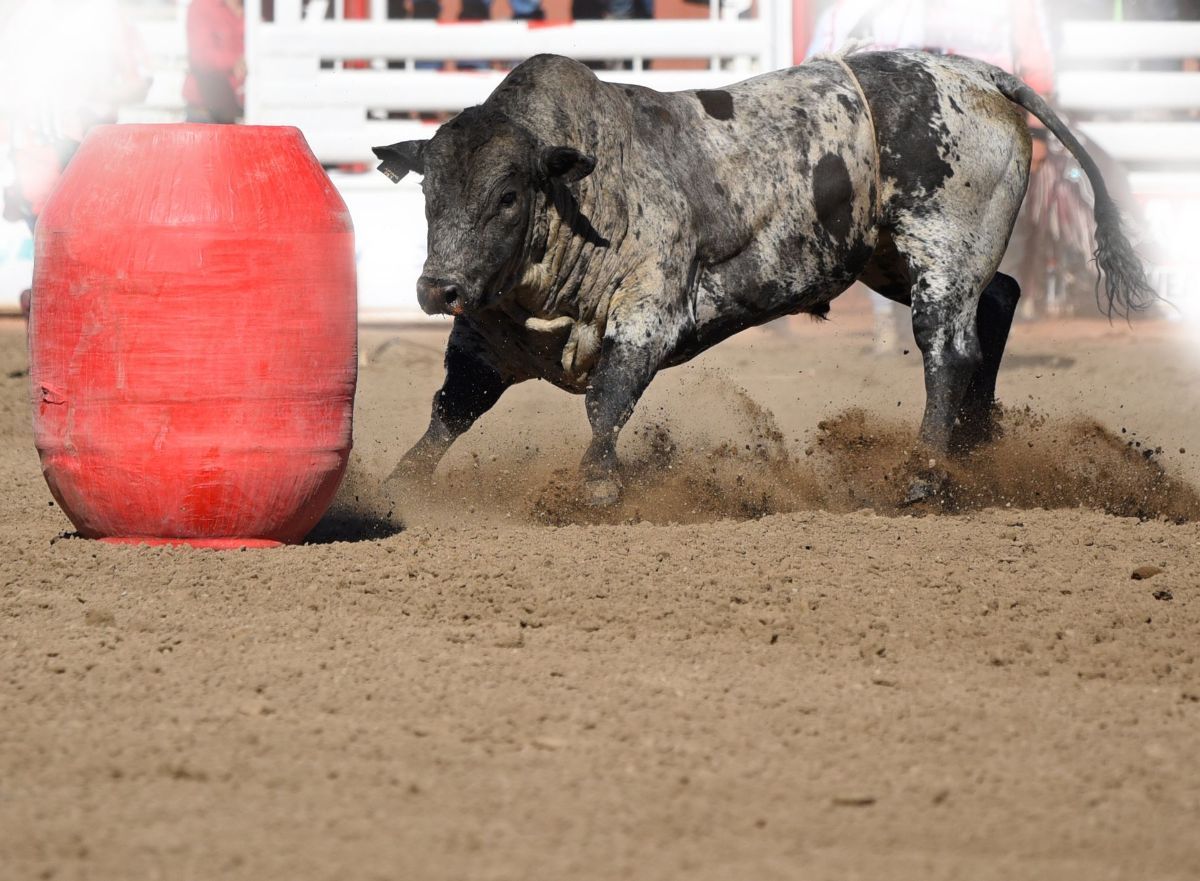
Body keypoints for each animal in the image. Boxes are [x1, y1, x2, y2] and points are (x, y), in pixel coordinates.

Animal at [372, 50, 1154, 506]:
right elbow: (452, 409)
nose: (438, 289)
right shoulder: (488, 339)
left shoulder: (649, 313)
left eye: (508, 195)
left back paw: (926, 474)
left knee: (949, 351)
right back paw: (975, 448)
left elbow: (606, 401)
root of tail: (974, 74)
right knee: (996, 302)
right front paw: (397, 487)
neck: (583, 195)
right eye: (429, 191)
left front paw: (594, 485)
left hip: (943, 251)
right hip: (889, 256)